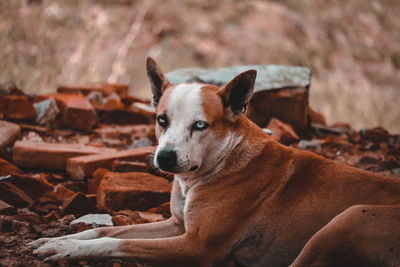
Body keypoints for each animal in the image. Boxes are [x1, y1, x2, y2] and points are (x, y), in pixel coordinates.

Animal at [32, 57, 400, 266]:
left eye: (200, 125)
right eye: (161, 120)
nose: (165, 157)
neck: (221, 162)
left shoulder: (195, 246)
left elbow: (118, 241)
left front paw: (67, 251)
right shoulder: (177, 226)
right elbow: (109, 231)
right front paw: (58, 241)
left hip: (348, 217)